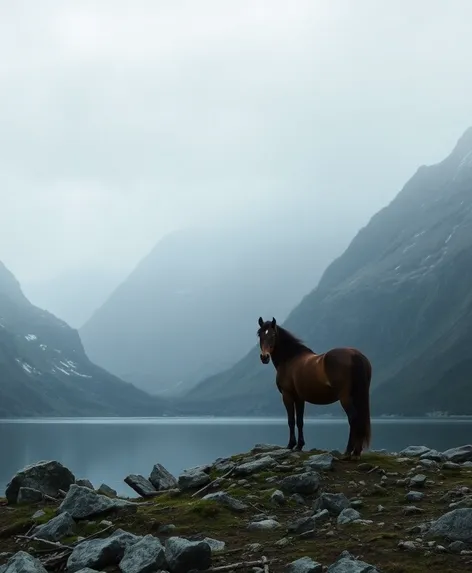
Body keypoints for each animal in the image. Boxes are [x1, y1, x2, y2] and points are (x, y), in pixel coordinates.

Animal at [258, 316, 372, 458]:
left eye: (273, 335)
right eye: (260, 334)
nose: (264, 357)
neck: (290, 359)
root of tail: (355, 354)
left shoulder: (287, 395)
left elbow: (291, 420)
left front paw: (290, 445)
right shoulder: (299, 398)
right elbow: (299, 421)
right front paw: (299, 445)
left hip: (345, 397)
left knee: (353, 418)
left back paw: (348, 451)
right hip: (357, 396)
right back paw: (356, 452)